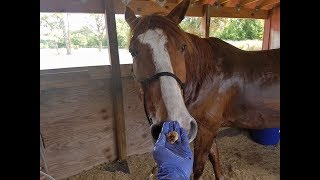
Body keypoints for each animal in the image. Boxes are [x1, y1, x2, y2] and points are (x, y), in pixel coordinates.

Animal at [125, 0, 280, 179]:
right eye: (132, 51)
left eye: (182, 47)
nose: (175, 122)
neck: (206, 76)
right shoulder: (207, 129)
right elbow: (215, 157)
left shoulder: (206, 129)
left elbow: (198, 167)